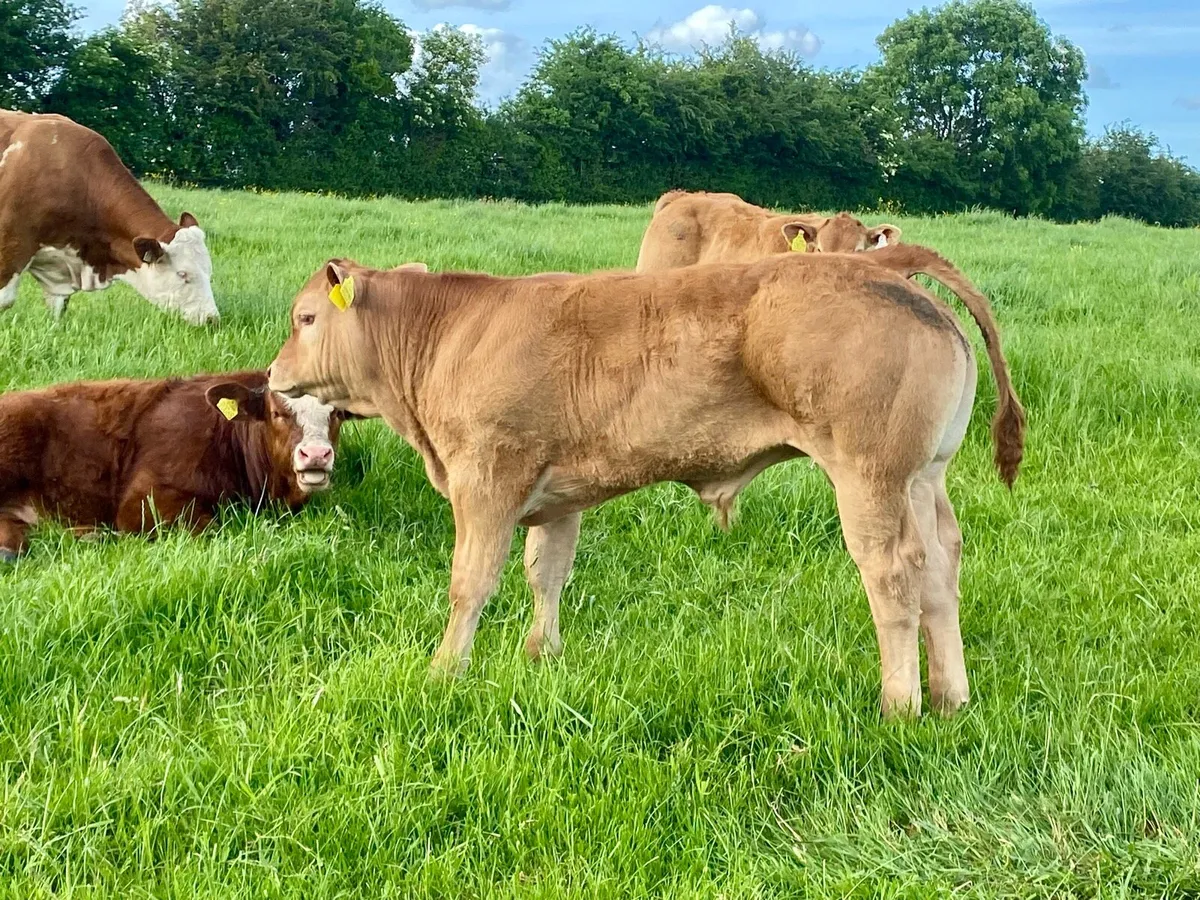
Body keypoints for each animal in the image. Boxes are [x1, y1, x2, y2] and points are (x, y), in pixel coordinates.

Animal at [267, 244, 1024, 718]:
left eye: (305, 317)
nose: (273, 374)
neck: (451, 332)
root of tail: (889, 269)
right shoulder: (558, 494)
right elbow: (546, 572)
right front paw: (541, 656)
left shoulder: (487, 480)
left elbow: (470, 583)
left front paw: (444, 671)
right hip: (923, 479)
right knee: (940, 571)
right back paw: (950, 697)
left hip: (870, 478)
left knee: (892, 575)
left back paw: (900, 705)